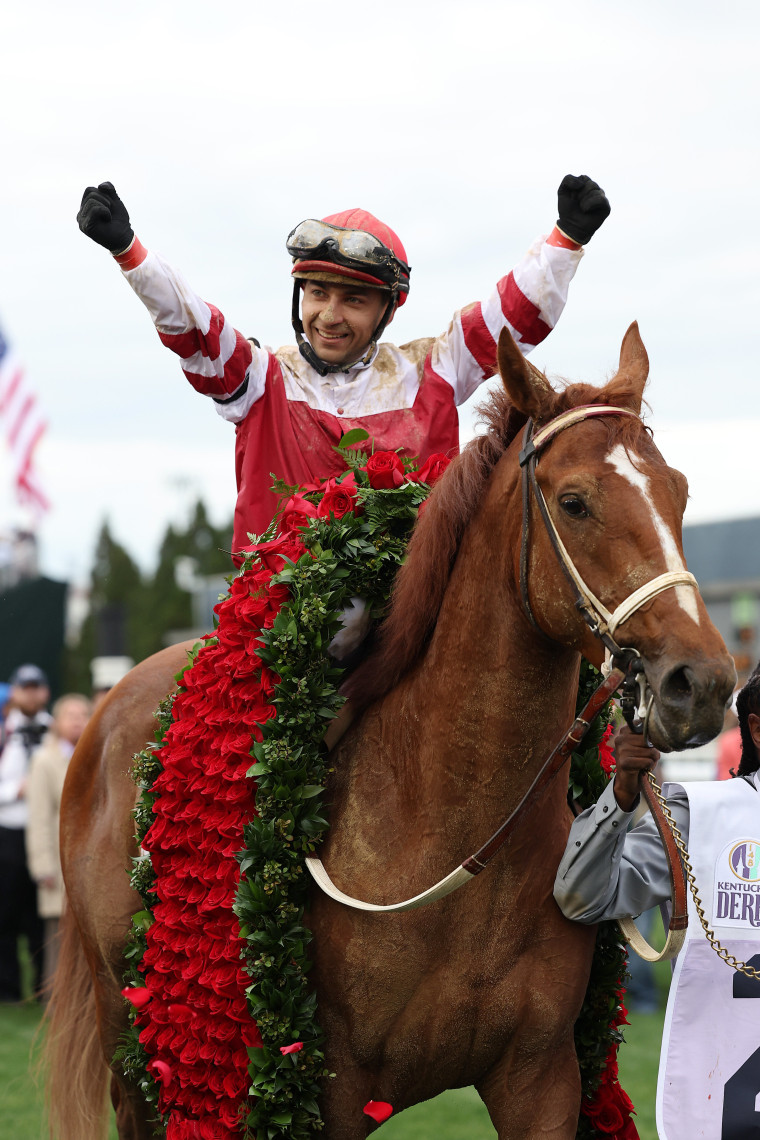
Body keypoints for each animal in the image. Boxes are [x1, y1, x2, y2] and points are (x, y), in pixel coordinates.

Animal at [46, 323, 738, 1140]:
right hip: (129, 1033)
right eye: (573, 502)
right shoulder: (330, 1089)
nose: (702, 682)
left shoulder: (542, 1077)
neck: (455, 828)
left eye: (680, 492)